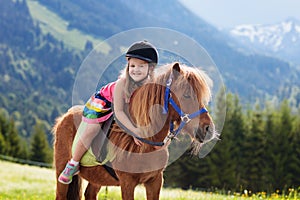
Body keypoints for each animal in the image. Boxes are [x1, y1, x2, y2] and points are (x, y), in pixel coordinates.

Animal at [52, 61, 218, 199]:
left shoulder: (155, 181)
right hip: (62, 172)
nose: (209, 129)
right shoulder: (127, 183)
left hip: (97, 178)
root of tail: (64, 117)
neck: (146, 144)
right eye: (187, 95)